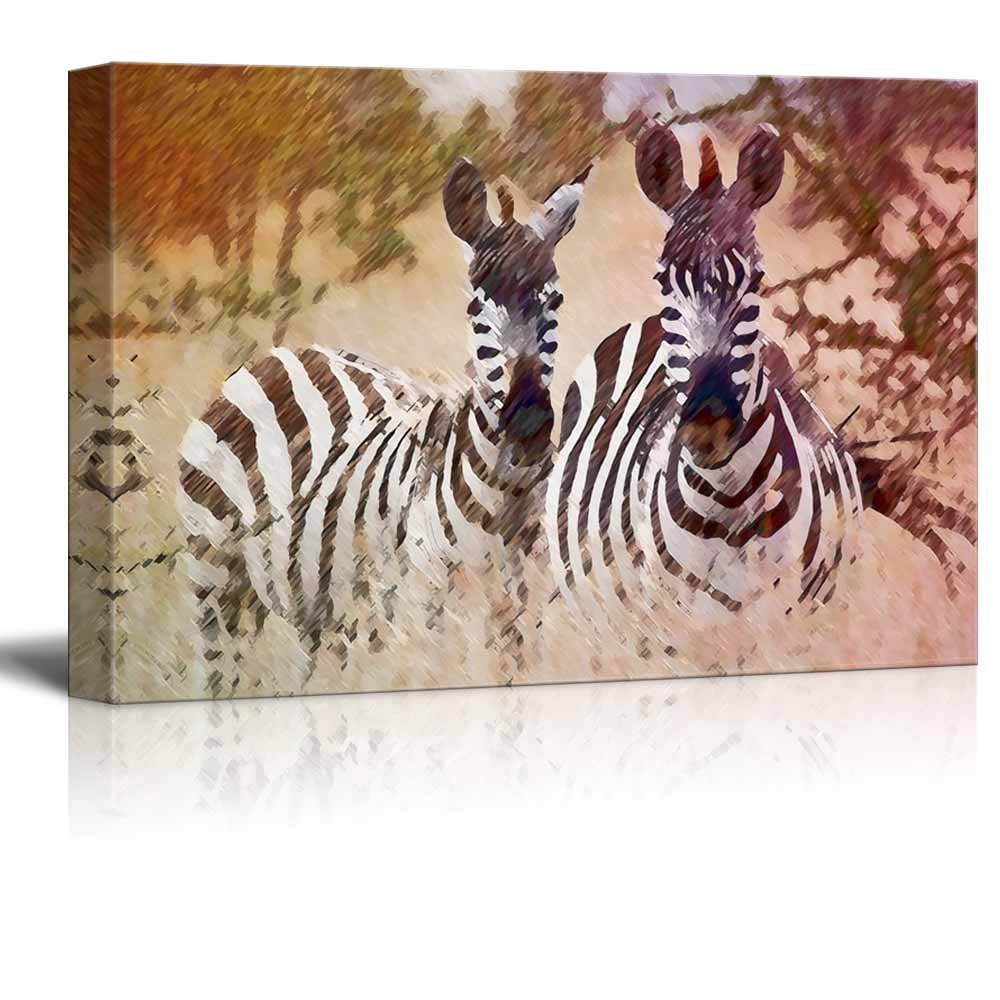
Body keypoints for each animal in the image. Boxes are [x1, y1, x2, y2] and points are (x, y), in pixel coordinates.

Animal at [177, 159, 588, 695]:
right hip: (213, 577)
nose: (529, 425)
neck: (506, 498)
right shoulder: (428, 608)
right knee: (217, 673)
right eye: (475, 308)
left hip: (307, 600)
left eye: (554, 300)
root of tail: (271, 358)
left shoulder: (524, 611)